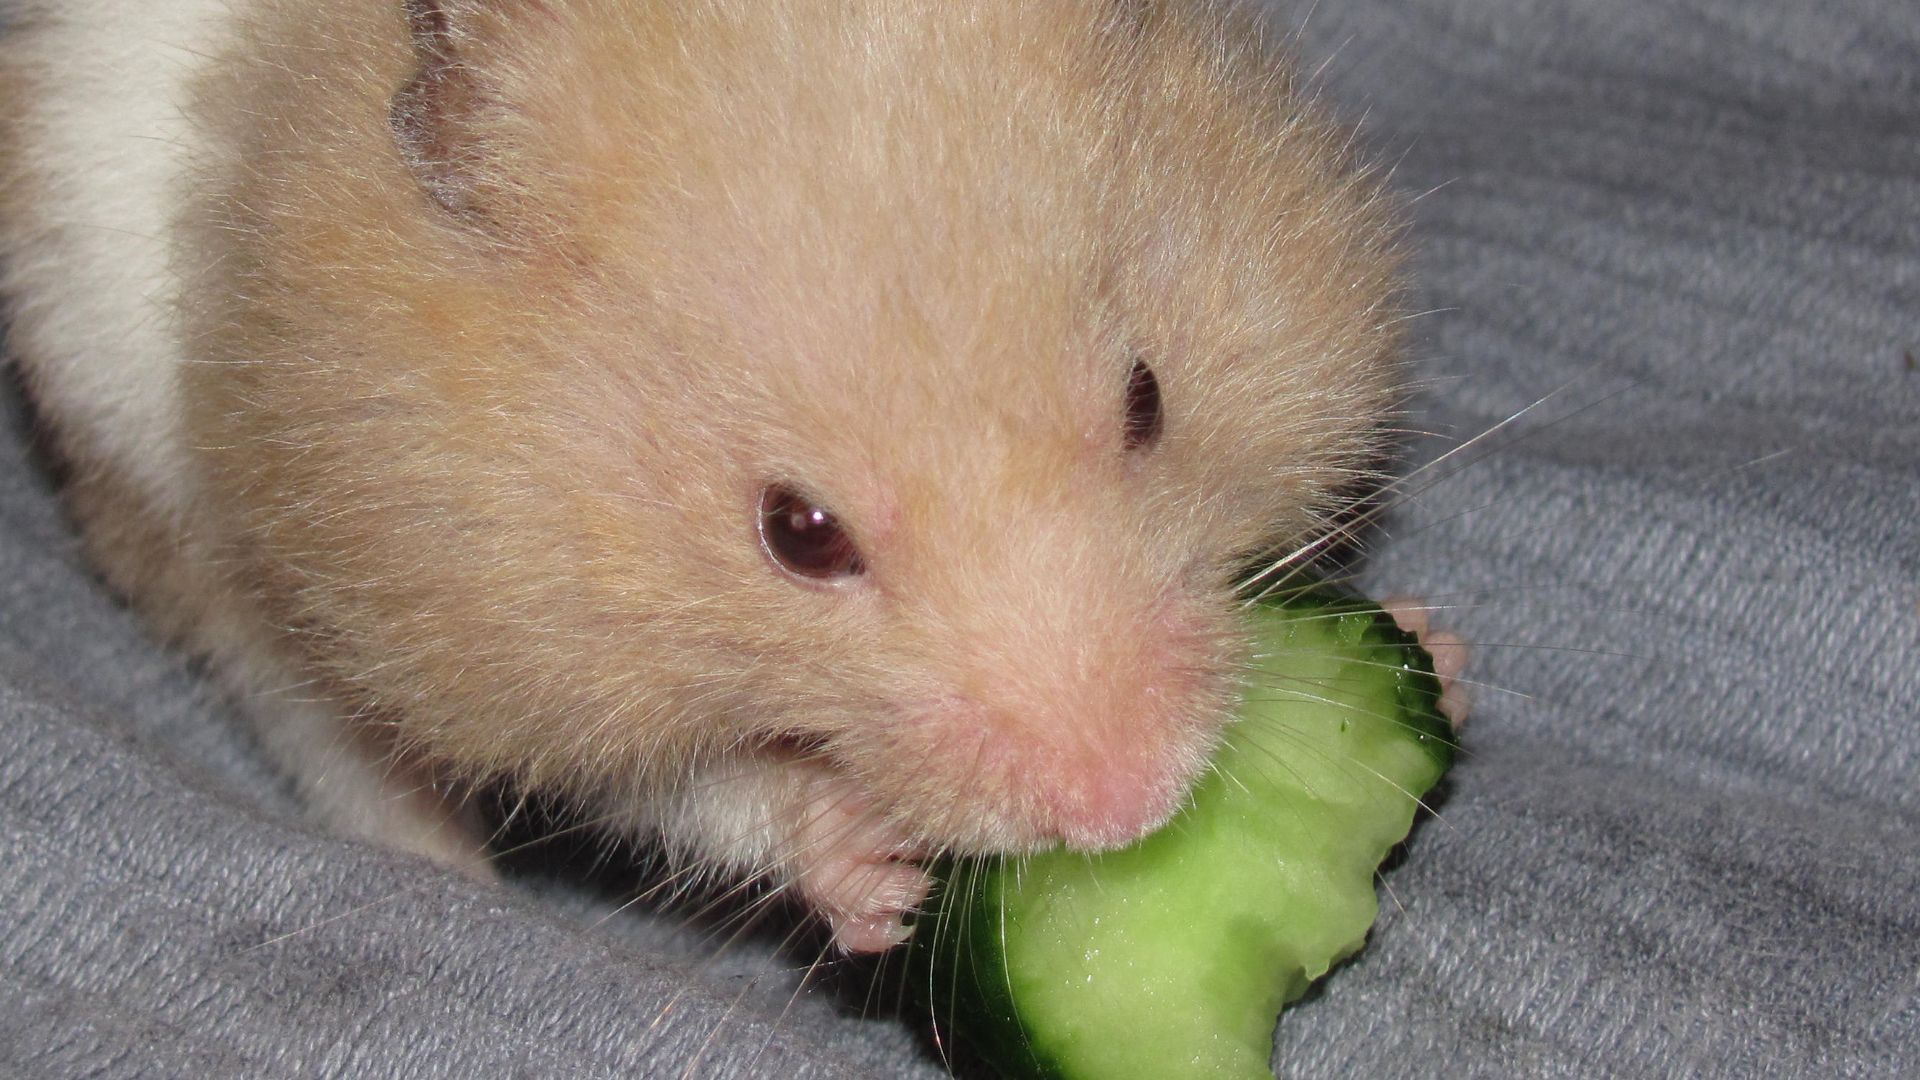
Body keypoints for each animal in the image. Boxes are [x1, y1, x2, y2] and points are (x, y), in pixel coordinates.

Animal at [0, 0, 1427, 953]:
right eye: (799, 534)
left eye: (1148, 400)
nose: (1131, 809)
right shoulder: (520, 647)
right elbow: (680, 789)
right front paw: (873, 877)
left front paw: (1430, 644)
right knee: (327, 737)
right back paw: (459, 883)